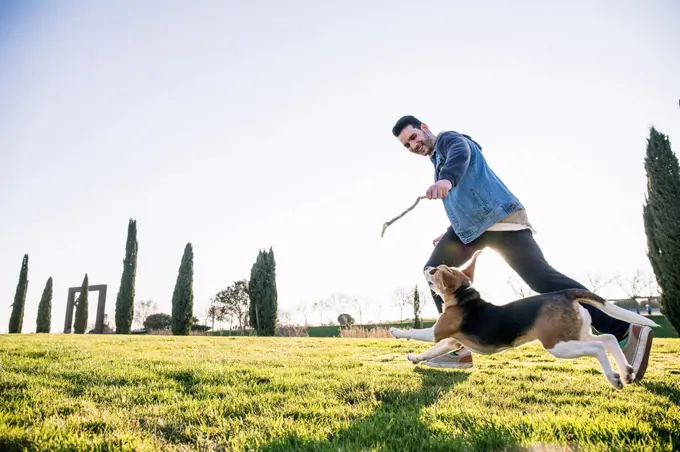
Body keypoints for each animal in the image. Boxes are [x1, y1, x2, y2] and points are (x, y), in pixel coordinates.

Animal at [390, 251, 660, 388]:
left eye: (436, 272)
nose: (428, 267)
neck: (463, 297)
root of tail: (566, 293)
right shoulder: (451, 341)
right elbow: (430, 351)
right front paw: (414, 358)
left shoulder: (438, 331)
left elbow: (417, 334)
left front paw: (395, 331)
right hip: (574, 334)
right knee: (609, 338)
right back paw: (626, 371)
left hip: (557, 345)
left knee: (598, 347)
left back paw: (614, 378)